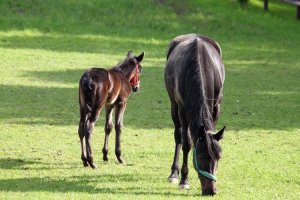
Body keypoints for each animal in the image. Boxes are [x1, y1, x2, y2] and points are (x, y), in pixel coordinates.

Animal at [164, 34, 225, 195]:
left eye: (219, 156)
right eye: (201, 156)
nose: (211, 191)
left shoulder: (216, 106)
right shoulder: (183, 110)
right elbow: (187, 143)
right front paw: (184, 180)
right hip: (173, 105)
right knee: (178, 136)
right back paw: (174, 173)